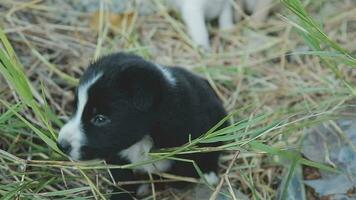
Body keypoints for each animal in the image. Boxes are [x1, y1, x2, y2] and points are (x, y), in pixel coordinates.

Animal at [56, 52, 228, 199]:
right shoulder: (117, 157)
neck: (144, 137)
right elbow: (122, 179)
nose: (61, 145)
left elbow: (185, 168)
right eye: (75, 107)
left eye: (100, 119)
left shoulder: (191, 141)